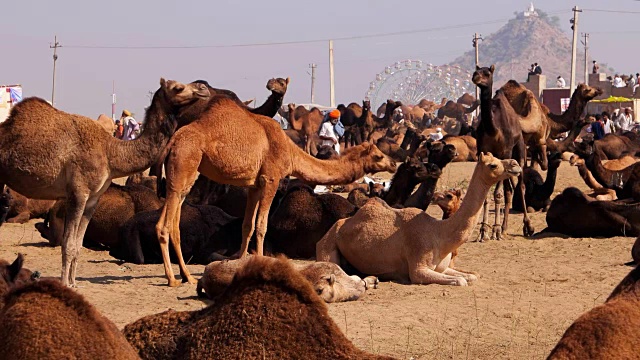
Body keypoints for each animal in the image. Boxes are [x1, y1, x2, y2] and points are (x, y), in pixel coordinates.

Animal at [154, 86, 396, 284]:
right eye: (377, 156)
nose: (393, 164)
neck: (289, 150)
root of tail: (172, 142)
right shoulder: (271, 179)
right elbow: (262, 226)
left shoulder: (254, 185)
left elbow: (247, 226)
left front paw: (240, 261)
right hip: (185, 160)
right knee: (165, 225)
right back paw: (172, 278)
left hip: (183, 172)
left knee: (172, 220)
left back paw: (185, 275)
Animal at [318, 153, 524, 286]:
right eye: (493, 165)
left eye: (498, 158)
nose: (515, 164)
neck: (440, 233)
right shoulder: (418, 269)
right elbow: (461, 281)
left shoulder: (441, 267)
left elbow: (472, 276)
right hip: (328, 243)